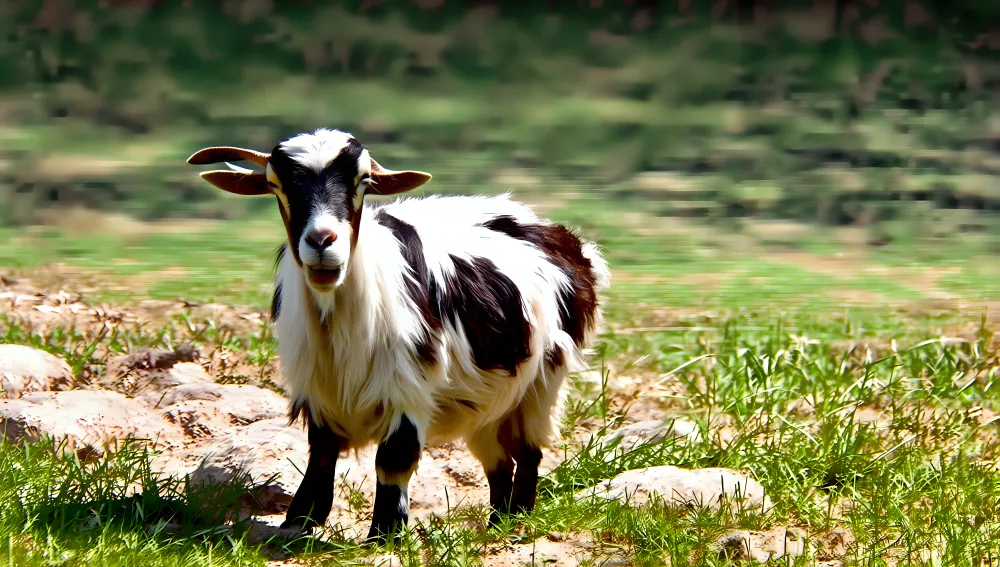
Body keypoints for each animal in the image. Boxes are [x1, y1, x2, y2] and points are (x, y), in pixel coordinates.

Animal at [187, 128, 610, 543]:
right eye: (276, 184)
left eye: (363, 181)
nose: (322, 241)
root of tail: (563, 238)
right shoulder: (317, 389)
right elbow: (321, 456)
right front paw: (299, 522)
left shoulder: (408, 386)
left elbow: (393, 461)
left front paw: (385, 535)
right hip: (490, 401)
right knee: (498, 461)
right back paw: (497, 524)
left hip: (543, 382)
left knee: (527, 452)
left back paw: (515, 524)